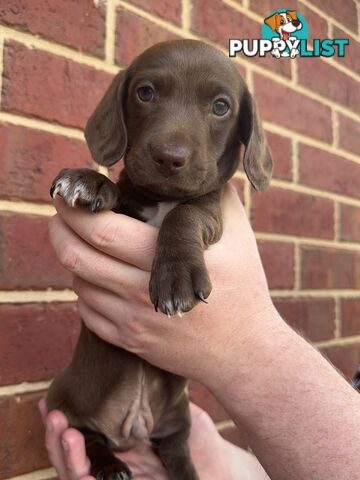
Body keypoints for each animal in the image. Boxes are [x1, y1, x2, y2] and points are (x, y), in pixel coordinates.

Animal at [47, 40, 272, 480]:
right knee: (85, 433)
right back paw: (110, 464)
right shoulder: (130, 204)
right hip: (63, 396)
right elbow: (119, 191)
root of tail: (130, 428)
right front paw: (90, 180)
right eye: (145, 93)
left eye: (221, 106)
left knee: (177, 448)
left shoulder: (209, 207)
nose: (169, 157)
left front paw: (175, 277)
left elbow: (185, 215)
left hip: (178, 417)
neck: (163, 198)